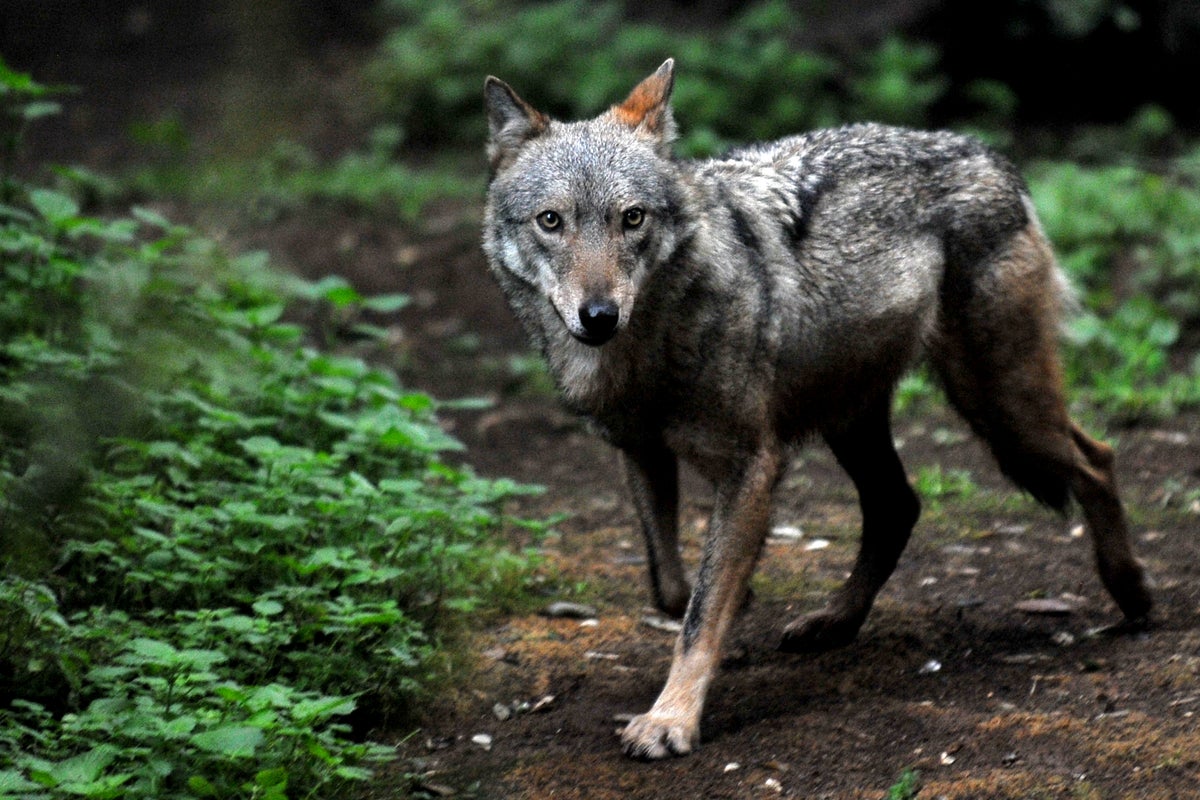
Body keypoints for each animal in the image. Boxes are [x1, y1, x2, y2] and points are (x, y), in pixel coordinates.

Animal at [481, 59, 1152, 760]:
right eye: (551, 221)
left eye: (631, 218)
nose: (599, 316)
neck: (646, 356)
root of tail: (987, 152)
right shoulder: (640, 452)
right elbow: (671, 588)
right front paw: (733, 615)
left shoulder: (752, 466)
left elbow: (700, 611)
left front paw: (671, 718)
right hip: (861, 420)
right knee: (899, 505)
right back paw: (834, 623)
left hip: (1001, 410)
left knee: (1097, 459)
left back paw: (1132, 593)